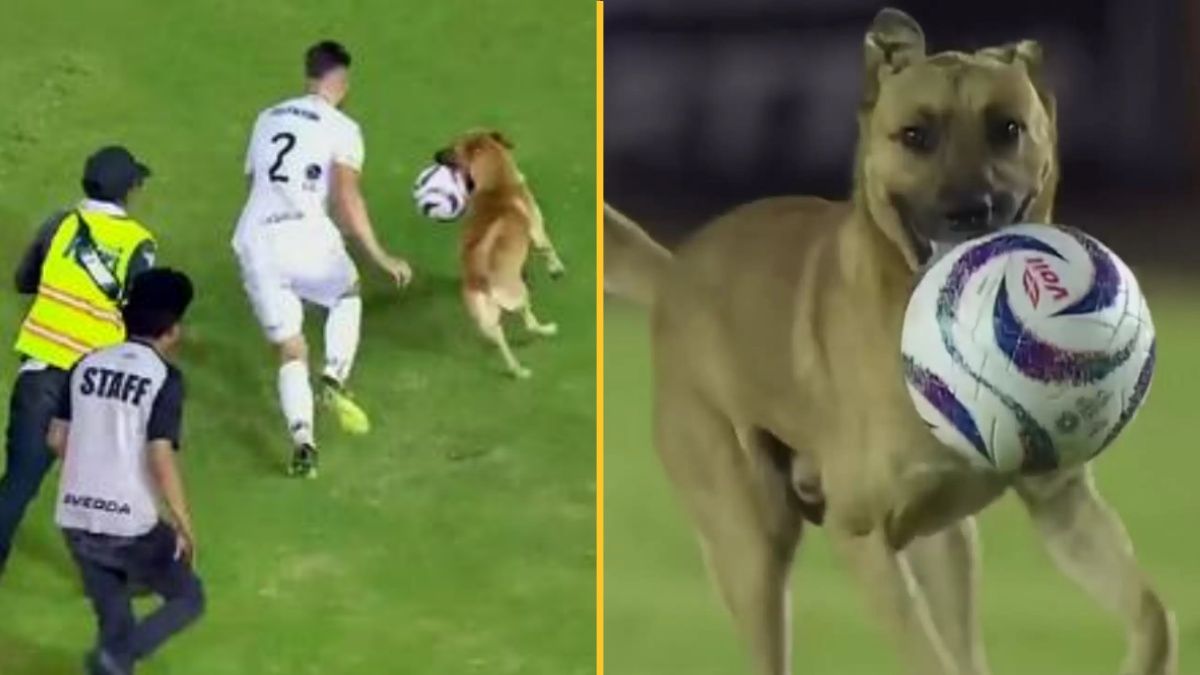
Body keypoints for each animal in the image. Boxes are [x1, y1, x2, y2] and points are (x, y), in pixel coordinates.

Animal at [436, 128, 566, 374]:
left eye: (453, 147)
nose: (435, 155)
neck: (495, 185)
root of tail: (481, 278)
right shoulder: (538, 232)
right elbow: (549, 250)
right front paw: (557, 270)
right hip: (519, 297)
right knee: (529, 323)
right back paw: (546, 330)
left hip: (487, 319)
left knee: (499, 339)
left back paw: (518, 370)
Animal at [604, 10, 1176, 672]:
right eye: (914, 136)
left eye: (1007, 128)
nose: (970, 211)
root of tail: (674, 275)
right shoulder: (861, 537)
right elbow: (927, 657)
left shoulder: (1061, 503)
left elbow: (1153, 615)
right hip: (751, 549)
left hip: (949, 549)